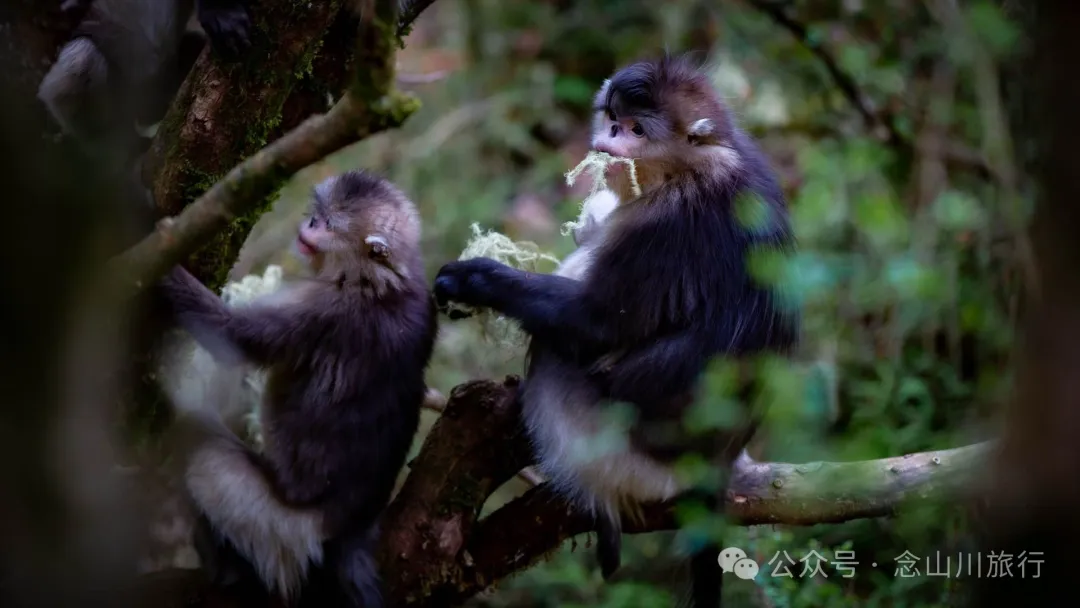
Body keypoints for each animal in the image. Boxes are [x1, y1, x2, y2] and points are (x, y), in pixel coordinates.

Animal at [156, 169, 437, 606]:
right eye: (315, 216)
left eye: (326, 225)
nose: (308, 226)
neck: (382, 283)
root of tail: (349, 532)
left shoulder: (321, 307)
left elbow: (229, 336)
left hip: (276, 525)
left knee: (195, 439)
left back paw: (226, 571)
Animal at [433, 55, 799, 607]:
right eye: (611, 120)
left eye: (636, 130)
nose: (608, 142)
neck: (696, 161)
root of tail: (709, 470)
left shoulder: (667, 222)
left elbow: (595, 325)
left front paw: (474, 279)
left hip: (607, 447)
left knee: (554, 351)